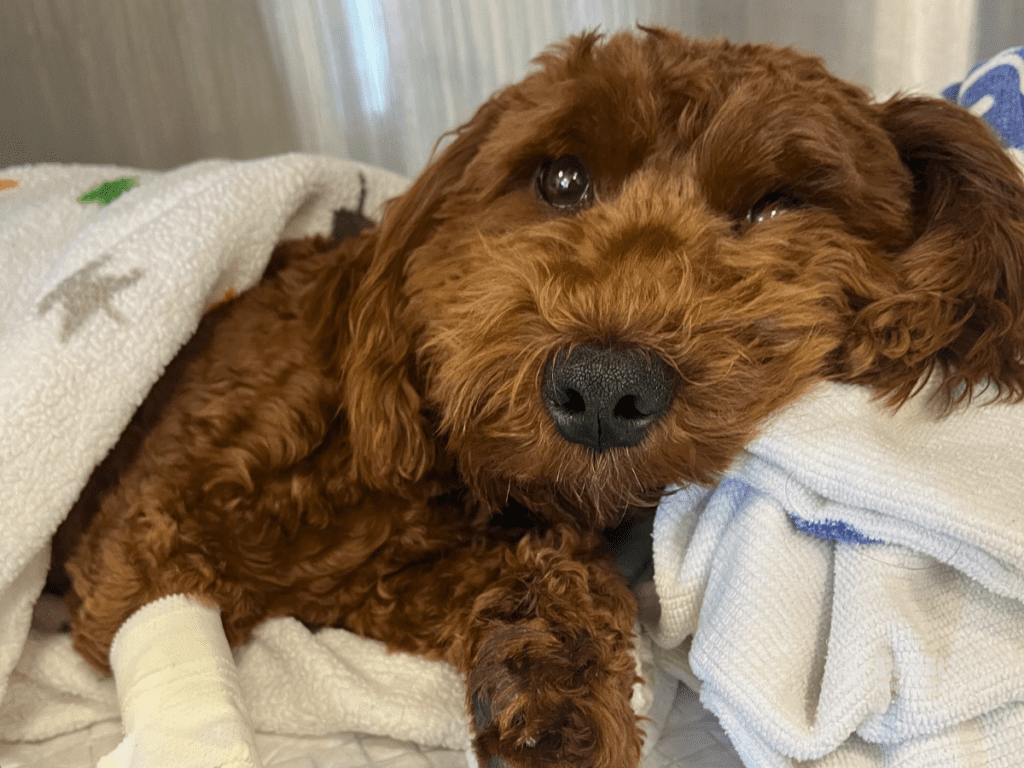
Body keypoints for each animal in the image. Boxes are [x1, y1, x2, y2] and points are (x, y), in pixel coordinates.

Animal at [59, 24, 1024, 768]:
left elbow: (551, 570)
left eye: (779, 206)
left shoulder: (381, 584)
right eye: (560, 179)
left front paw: (553, 707)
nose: (600, 385)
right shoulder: (140, 538)